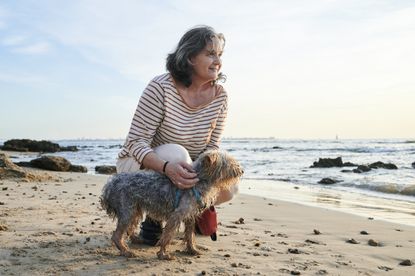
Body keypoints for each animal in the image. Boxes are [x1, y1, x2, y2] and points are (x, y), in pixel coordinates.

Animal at [100, 150, 244, 260]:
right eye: (230, 163)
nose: (242, 170)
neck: (198, 180)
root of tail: (109, 184)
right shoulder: (177, 215)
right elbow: (167, 236)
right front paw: (163, 254)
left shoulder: (190, 215)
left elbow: (190, 235)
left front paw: (192, 250)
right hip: (127, 209)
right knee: (117, 235)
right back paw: (126, 251)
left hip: (135, 209)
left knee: (129, 228)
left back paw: (136, 240)